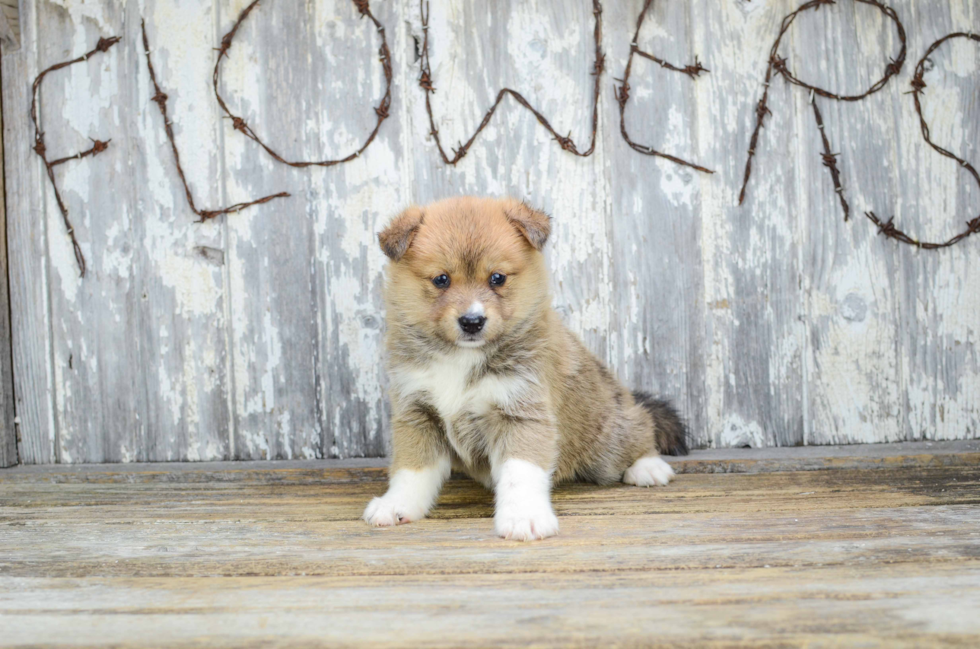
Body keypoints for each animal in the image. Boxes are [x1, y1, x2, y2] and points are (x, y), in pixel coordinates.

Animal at [362, 195, 688, 540]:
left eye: (497, 278)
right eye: (441, 279)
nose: (472, 321)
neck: (462, 357)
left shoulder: (521, 413)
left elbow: (521, 473)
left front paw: (523, 517)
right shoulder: (417, 415)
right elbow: (411, 470)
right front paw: (396, 505)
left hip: (608, 438)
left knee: (641, 426)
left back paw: (648, 466)